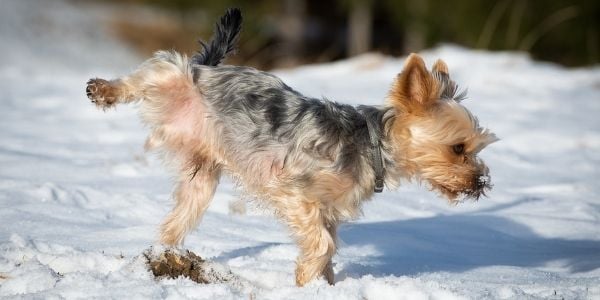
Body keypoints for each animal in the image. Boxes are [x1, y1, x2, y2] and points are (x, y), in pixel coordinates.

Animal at [84, 8, 496, 286]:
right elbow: (323, 244)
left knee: (178, 217)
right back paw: (103, 89)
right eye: (458, 148)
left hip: (202, 178)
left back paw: (163, 255)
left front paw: (323, 286)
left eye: (477, 148)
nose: (480, 183)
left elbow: (327, 245)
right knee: (152, 70)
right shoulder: (295, 191)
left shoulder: (328, 210)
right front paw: (305, 278)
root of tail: (209, 67)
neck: (372, 145)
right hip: (174, 75)